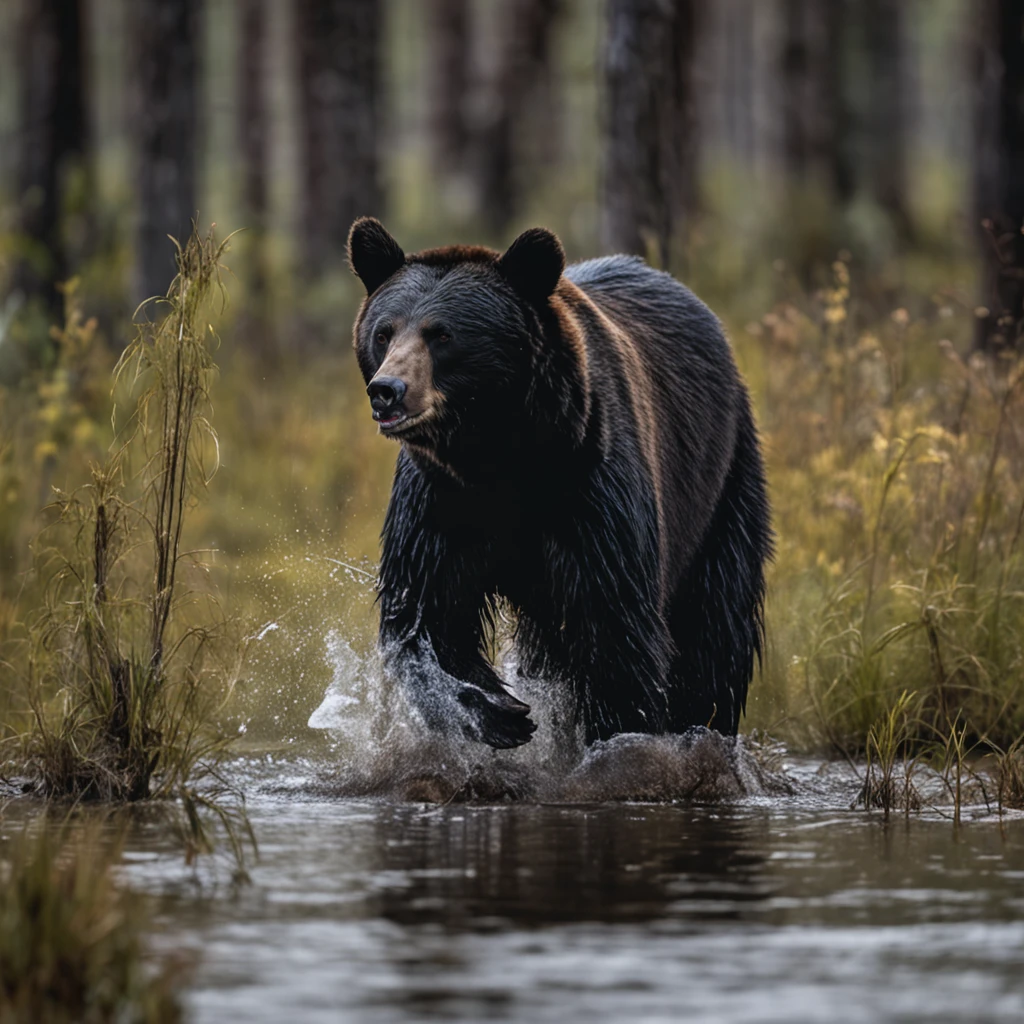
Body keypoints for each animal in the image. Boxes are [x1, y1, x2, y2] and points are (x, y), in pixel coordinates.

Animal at [348, 216, 770, 749]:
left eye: (442, 334)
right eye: (384, 332)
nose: (387, 391)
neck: (501, 457)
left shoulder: (590, 491)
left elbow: (616, 636)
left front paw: (620, 735)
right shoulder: (439, 502)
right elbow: (428, 617)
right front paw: (500, 712)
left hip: (723, 480)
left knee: (715, 627)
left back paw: (706, 724)